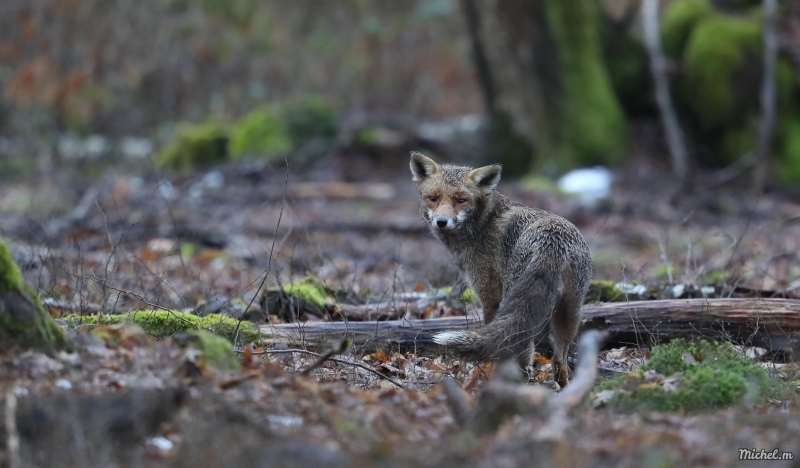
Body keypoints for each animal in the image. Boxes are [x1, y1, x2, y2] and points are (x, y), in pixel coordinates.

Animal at [412, 152, 592, 386]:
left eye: (461, 200)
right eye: (433, 198)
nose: (442, 222)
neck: (483, 223)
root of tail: (552, 240)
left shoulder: (489, 296)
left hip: (514, 296)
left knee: (520, 351)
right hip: (571, 310)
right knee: (558, 359)